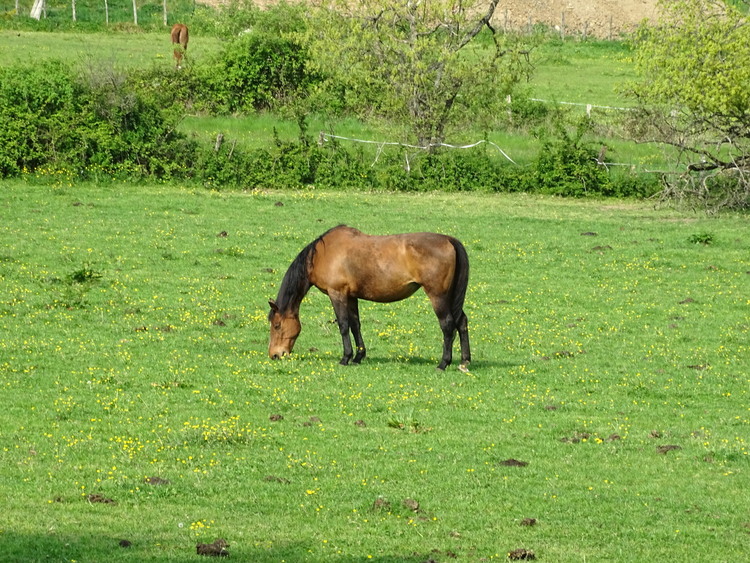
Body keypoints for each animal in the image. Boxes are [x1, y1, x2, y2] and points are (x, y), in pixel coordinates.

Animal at [268, 225, 470, 370]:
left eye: (277, 325)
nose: (275, 355)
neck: (322, 254)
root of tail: (449, 240)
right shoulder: (351, 297)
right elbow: (355, 325)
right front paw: (358, 357)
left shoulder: (337, 294)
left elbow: (343, 325)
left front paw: (345, 358)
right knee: (461, 321)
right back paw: (464, 361)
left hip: (438, 296)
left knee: (448, 324)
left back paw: (443, 363)